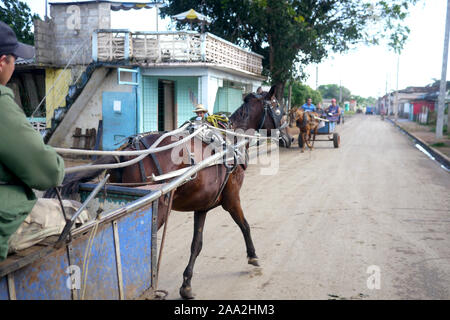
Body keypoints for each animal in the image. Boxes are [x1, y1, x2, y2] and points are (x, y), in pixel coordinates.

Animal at [46, 84, 284, 298]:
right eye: (278, 109)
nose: (287, 137)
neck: (230, 139)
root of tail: (125, 152)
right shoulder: (232, 199)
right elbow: (245, 225)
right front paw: (253, 256)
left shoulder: (203, 206)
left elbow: (196, 244)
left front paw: (186, 284)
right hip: (156, 209)